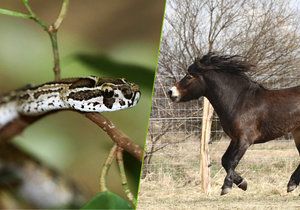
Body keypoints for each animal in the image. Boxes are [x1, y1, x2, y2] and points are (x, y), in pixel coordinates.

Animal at [168, 52, 300, 195]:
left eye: (189, 76)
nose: (171, 92)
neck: (238, 102)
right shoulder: (235, 139)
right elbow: (224, 160)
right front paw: (242, 183)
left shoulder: (244, 140)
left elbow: (232, 161)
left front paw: (227, 186)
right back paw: (292, 184)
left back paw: (292, 184)